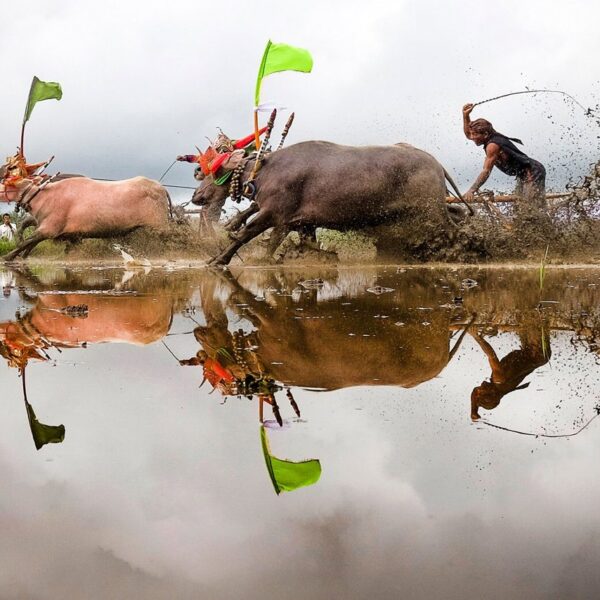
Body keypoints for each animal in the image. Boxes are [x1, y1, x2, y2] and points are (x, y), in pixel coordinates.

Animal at [4, 176, 172, 260]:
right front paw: (23, 255)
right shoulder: (71, 236)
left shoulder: (49, 228)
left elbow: (28, 240)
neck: (43, 197)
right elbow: (28, 237)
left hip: (160, 226)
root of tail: (161, 187)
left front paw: (8, 256)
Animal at [192, 141, 468, 264]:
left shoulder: (274, 215)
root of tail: (436, 163)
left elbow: (248, 235)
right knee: (458, 214)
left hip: (429, 212)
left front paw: (218, 260)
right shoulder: (299, 223)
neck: (263, 171)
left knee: (453, 229)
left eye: (213, 173)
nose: (197, 197)